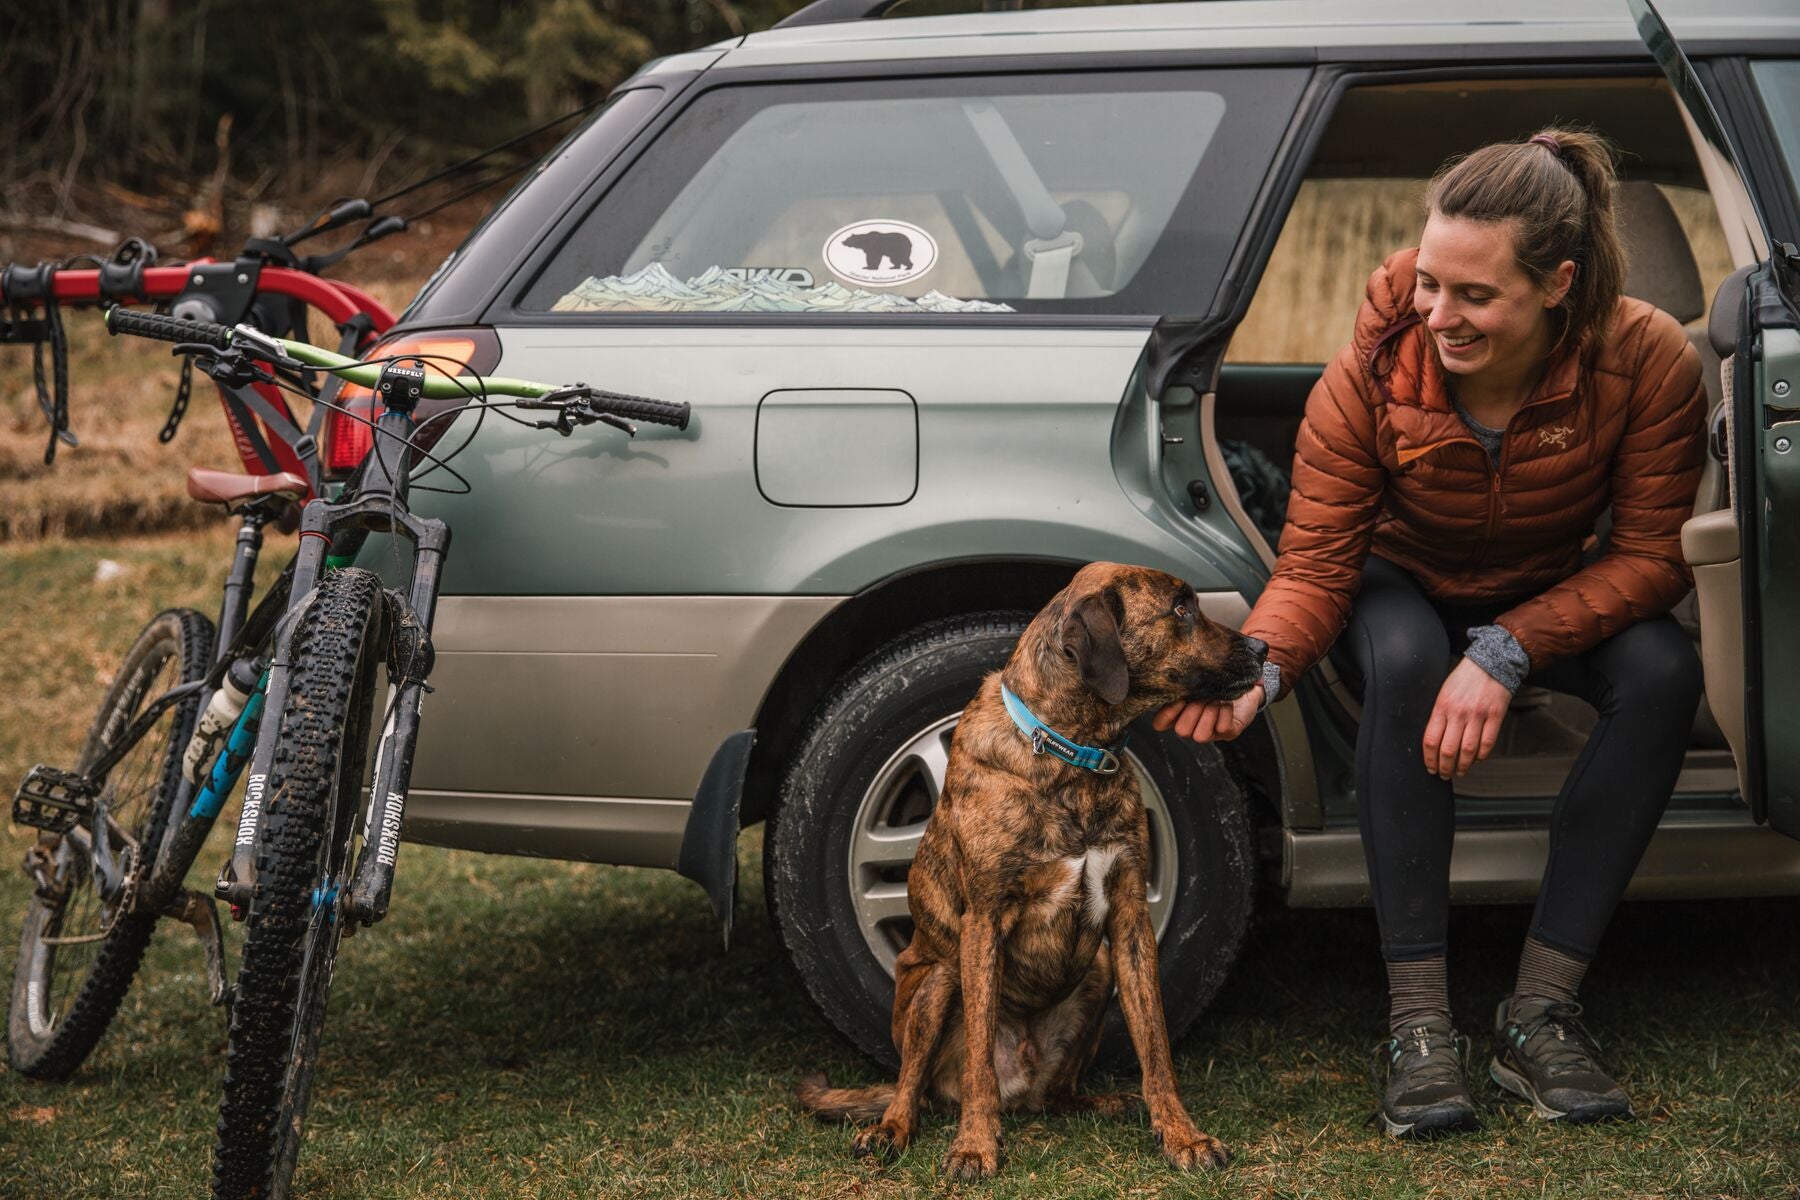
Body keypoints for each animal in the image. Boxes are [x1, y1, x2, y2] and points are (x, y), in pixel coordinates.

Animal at [802, 564, 1267, 1180]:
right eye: (1181, 609)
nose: (1263, 648)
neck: (1074, 755)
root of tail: (1019, 1082)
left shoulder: (1129, 921)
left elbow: (1156, 1044)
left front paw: (1182, 1135)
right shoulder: (982, 923)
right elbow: (978, 1060)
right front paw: (975, 1146)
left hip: (1097, 971)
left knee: (1056, 1094)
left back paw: (1100, 1102)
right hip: (939, 978)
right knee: (914, 1086)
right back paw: (891, 1129)